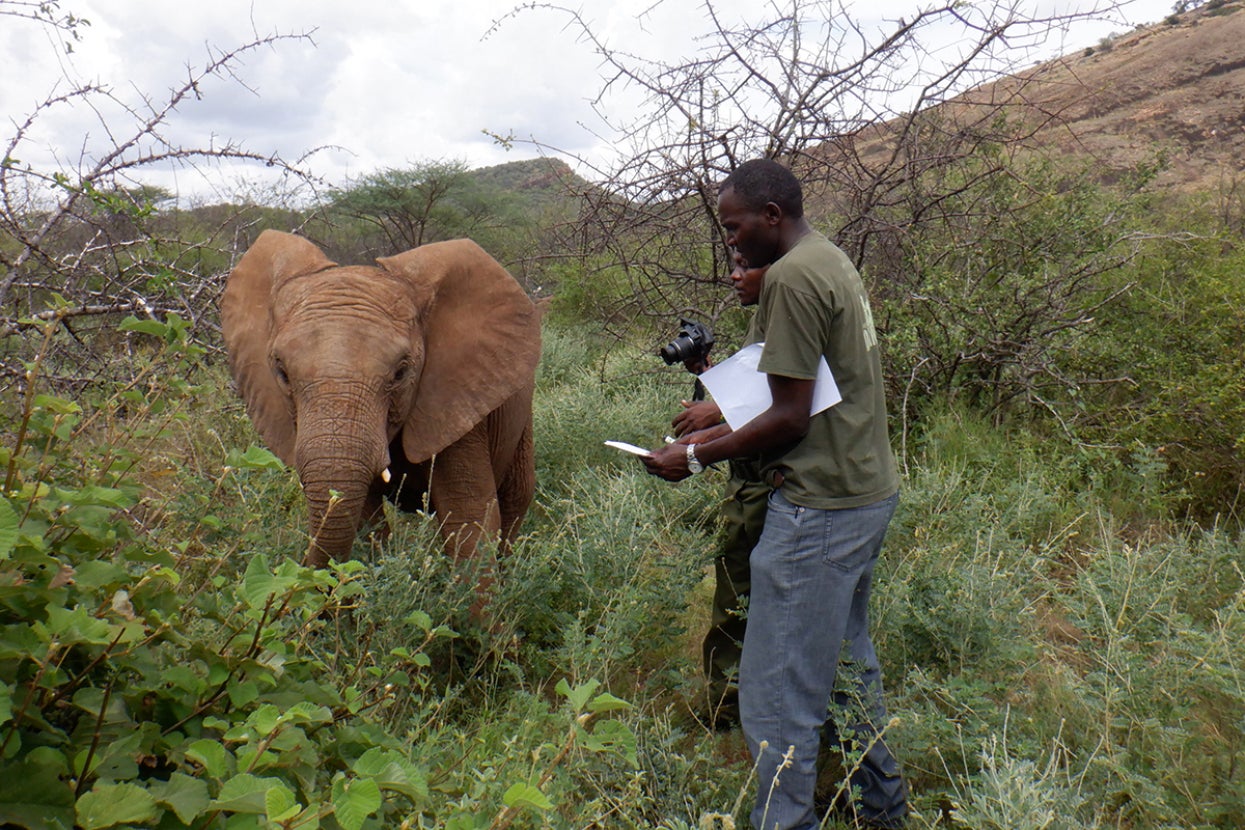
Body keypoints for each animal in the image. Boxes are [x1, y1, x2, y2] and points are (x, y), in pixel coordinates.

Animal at [221, 229, 541, 585]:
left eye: (400, 373)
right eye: (283, 374)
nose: (295, 574)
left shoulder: (456, 397)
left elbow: (469, 520)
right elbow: (367, 520)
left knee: (516, 499)